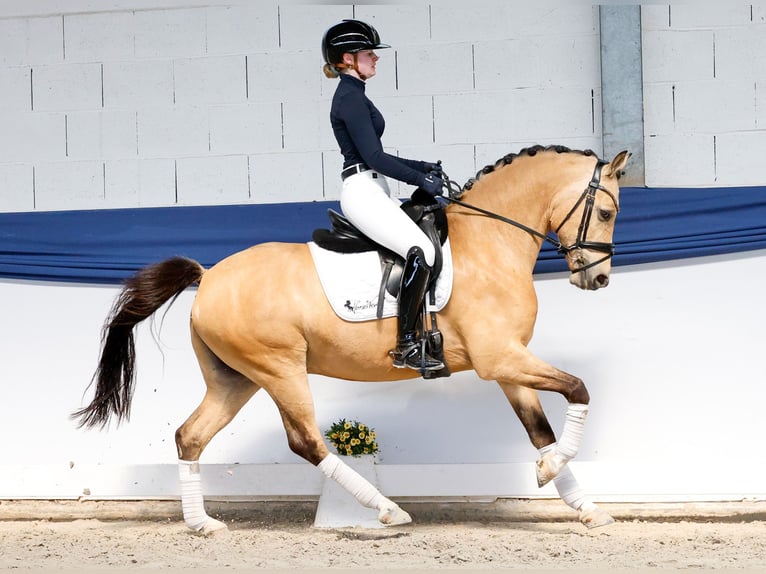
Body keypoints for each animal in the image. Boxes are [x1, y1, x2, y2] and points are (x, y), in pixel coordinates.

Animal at [73, 145, 630, 535]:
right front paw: (550, 472)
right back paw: (386, 510)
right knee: (306, 440)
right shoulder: (500, 359)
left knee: (191, 435)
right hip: (280, 369)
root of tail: (208, 276)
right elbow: (578, 388)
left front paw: (584, 505)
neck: (489, 243)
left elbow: (541, 430)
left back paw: (203, 524)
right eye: (606, 213)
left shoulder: (508, 363)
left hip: (235, 379)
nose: (598, 279)